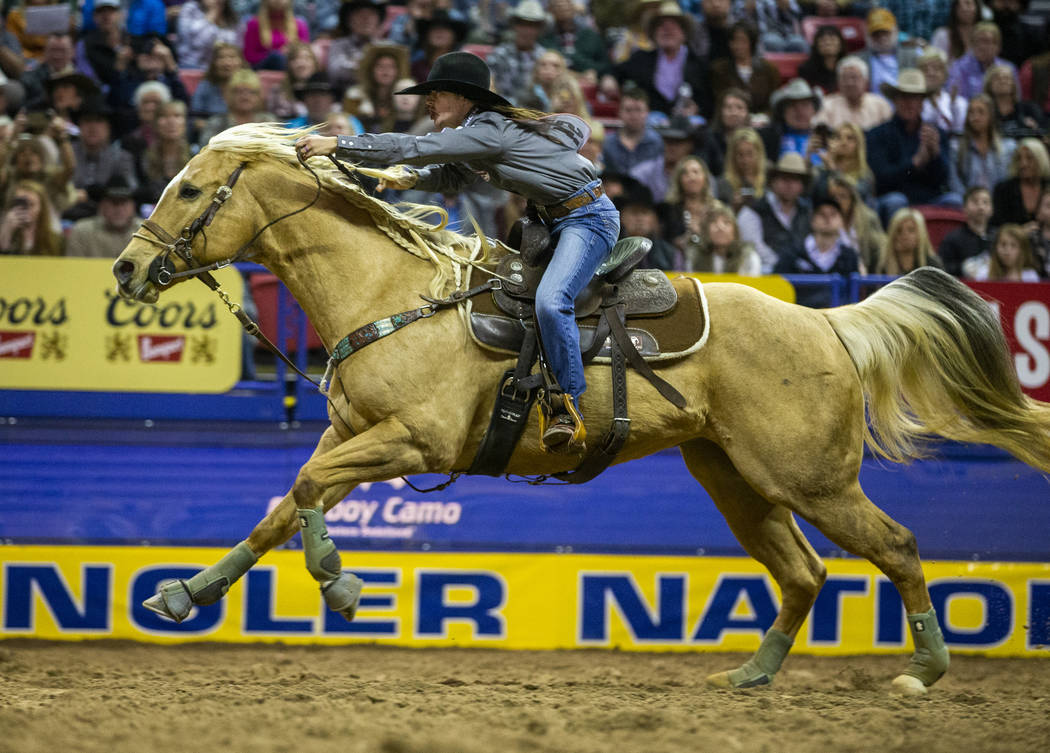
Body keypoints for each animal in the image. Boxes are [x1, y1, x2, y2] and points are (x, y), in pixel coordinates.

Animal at [110, 123, 1045, 693]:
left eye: (190, 190)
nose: (124, 268)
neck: (395, 291)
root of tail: (826, 322)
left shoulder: (414, 440)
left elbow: (304, 492)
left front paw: (340, 584)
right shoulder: (353, 432)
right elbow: (282, 506)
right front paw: (185, 594)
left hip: (811, 479)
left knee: (897, 545)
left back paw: (922, 667)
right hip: (736, 479)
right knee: (804, 571)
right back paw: (751, 674)